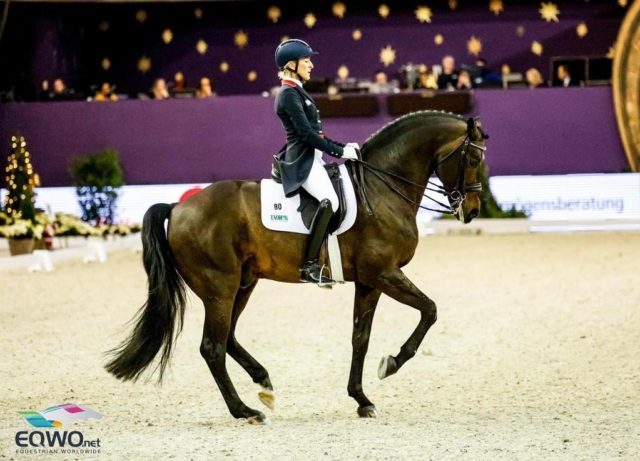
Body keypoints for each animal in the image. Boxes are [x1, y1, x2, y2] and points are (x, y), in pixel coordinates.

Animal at [105, 110, 489, 424]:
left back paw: (263, 382)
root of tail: (177, 206)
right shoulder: (384, 274)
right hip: (219, 289)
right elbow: (430, 310)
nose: (471, 210)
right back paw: (245, 411)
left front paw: (361, 399)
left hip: (243, 284)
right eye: (472, 158)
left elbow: (360, 338)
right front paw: (391, 364)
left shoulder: (369, 282)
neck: (381, 189)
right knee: (212, 347)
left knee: (228, 338)